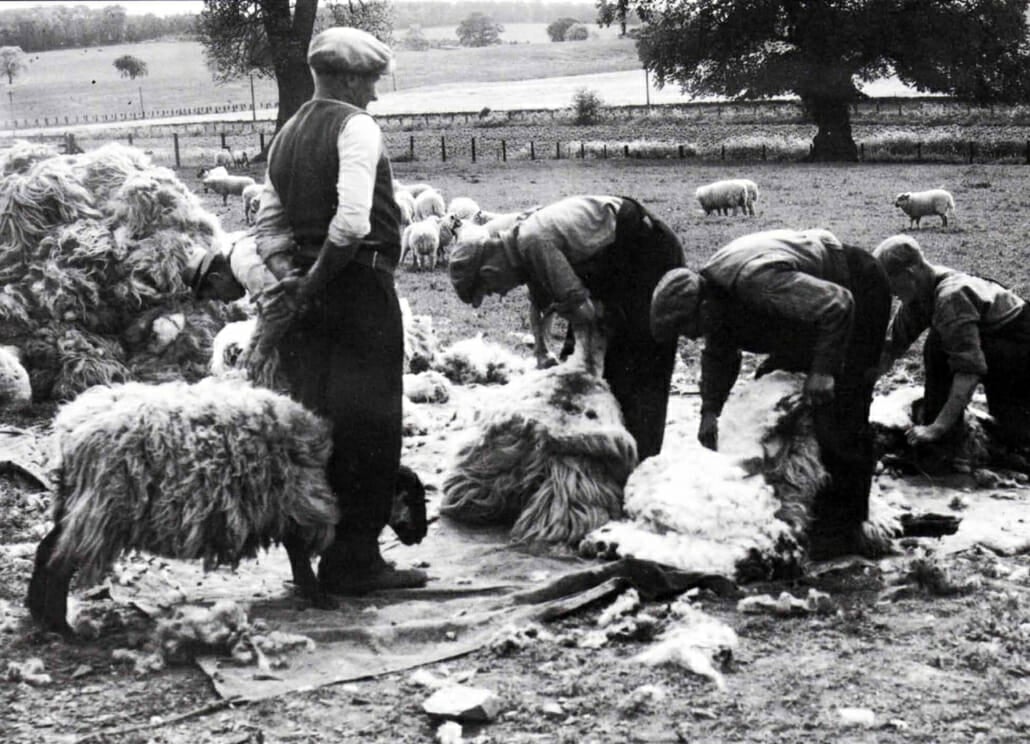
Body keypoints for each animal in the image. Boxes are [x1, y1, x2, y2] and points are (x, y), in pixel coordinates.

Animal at [28, 379, 428, 634]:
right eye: (413, 497)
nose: (422, 535)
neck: (336, 470)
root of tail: (70, 432)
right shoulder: (297, 508)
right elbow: (300, 556)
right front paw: (320, 597)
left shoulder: (286, 512)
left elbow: (296, 557)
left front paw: (309, 592)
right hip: (99, 509)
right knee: (60, 561)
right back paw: (62, 627)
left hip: (75, 503)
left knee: (46, 549)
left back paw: (37, 613)